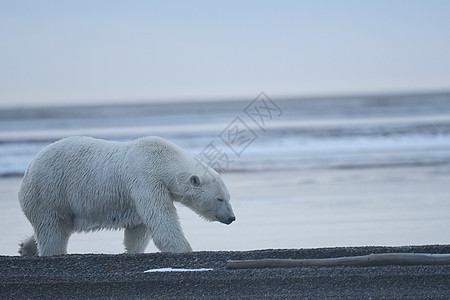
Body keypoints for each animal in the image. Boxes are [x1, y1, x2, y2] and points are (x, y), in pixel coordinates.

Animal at [17, 136, 236, 255]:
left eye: (228, 197)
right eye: (220, 198)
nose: (232, 218)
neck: (160, 159)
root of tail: (28, 169)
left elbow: (139, 227)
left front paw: (133, 250)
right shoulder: (145, 178)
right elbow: (161, 217)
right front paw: (184, 249)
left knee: (58, 226)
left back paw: (25, 248)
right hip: (49, 192)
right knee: (52, 230)